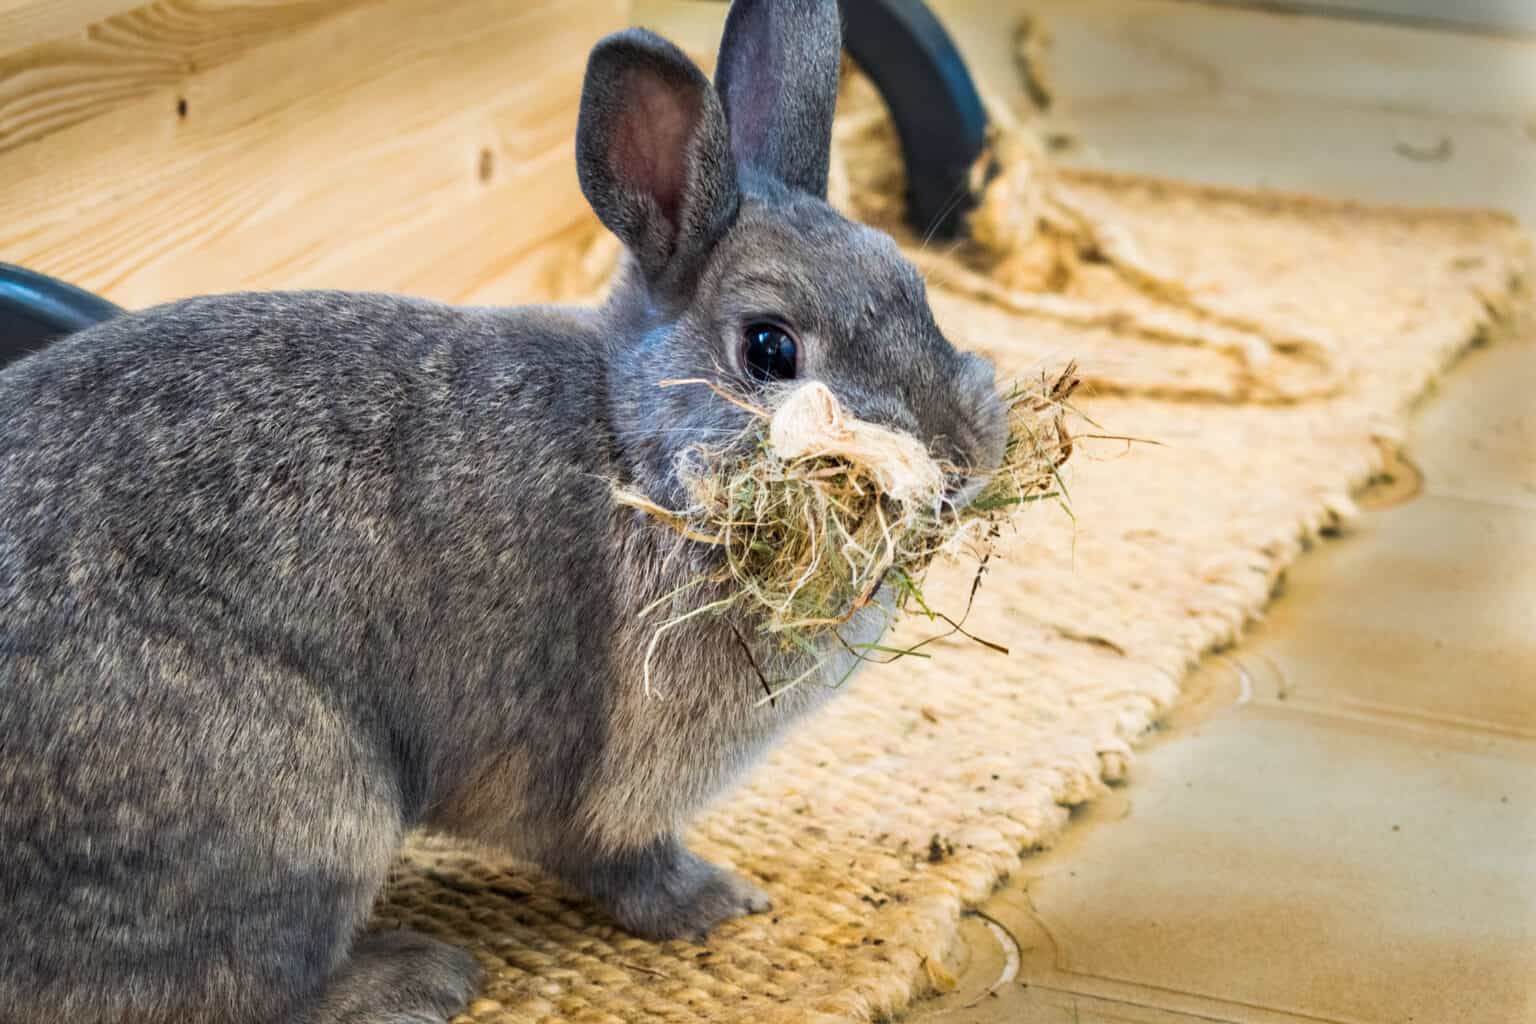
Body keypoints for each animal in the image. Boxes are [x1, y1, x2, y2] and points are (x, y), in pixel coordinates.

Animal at [0, 0, 1007, 1019]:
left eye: (914, 288)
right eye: (770, 350)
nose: (964, 455)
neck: (631, 450)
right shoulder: (607, 783)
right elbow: (626, 863)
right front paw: (720, 904)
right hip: (304, 819)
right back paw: (419, 975)